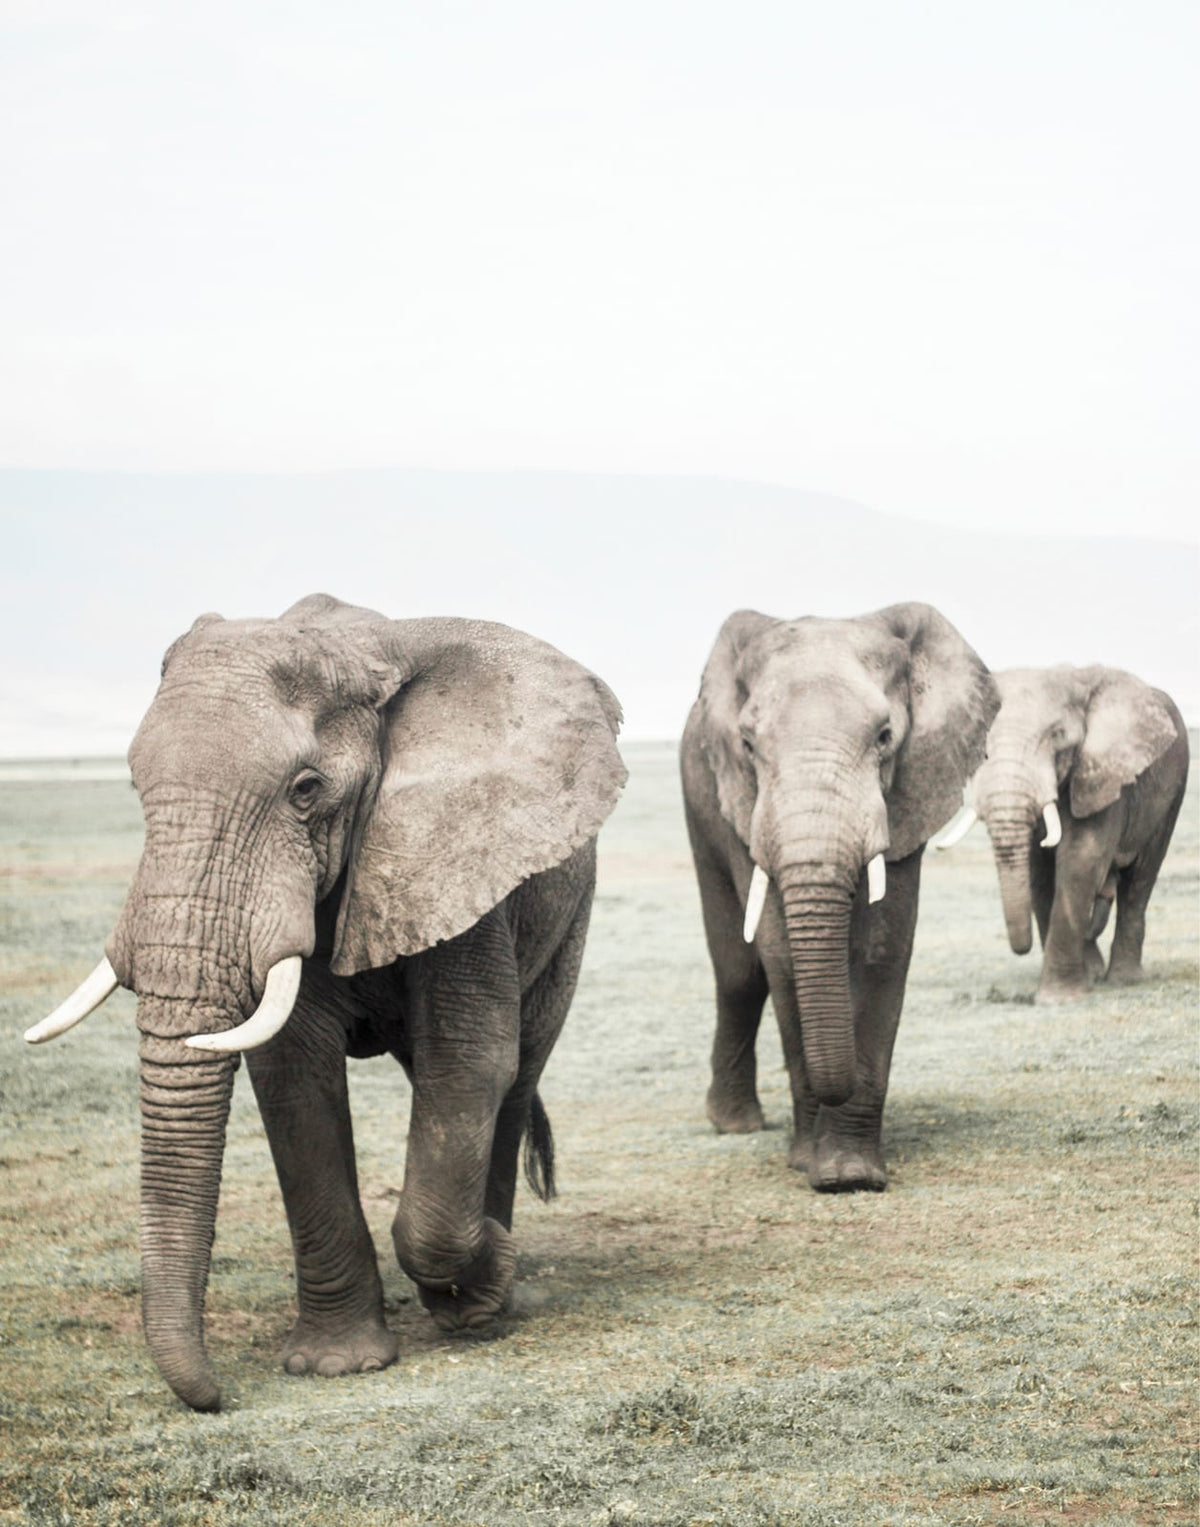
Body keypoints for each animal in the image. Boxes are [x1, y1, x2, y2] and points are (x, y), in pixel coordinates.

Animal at [26, 593, 626, 1412]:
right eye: (133, 784)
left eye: (306, 789)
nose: (215, 1396)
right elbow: (293, 1076)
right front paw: (337, 1364)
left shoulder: (457, 853)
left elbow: (469, 1061)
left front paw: (483, 1279)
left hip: (570, 915)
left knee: (516, 1071)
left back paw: (487, 1295)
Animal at [680, 602, 999, 1192]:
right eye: (748, 745)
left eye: (885, 736)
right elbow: (781, 955)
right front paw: (811, 1164)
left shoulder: (909, 791)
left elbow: (881, 949)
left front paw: (849, 1175)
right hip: (699, 798)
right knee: (739, 973)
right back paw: (735, 1125)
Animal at [933, 665, 1189, 1003]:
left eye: (1057, 736)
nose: (1021, 948)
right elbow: (1039, 873)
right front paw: (1081, 981)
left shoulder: (1102, 775)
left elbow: (1082, 858)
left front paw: (1058, 998)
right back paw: (1096, 972)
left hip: (1173, 791)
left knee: (1140, 879)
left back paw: (1124, 979)